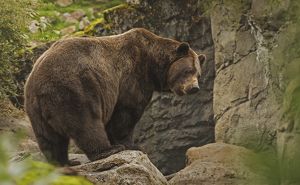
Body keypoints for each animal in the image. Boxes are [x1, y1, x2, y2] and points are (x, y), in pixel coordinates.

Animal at [24, 28, 206, 165]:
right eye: (188, 71)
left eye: (198, 73)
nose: (194, 88)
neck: (152, 64)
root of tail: (38, 82)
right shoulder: (132, 77)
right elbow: (126, 113)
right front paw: (132, 145)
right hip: (74, 88)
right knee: (86, 122)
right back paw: (106, 150)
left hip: (34, 108)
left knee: (50, 138)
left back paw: (64, 162)